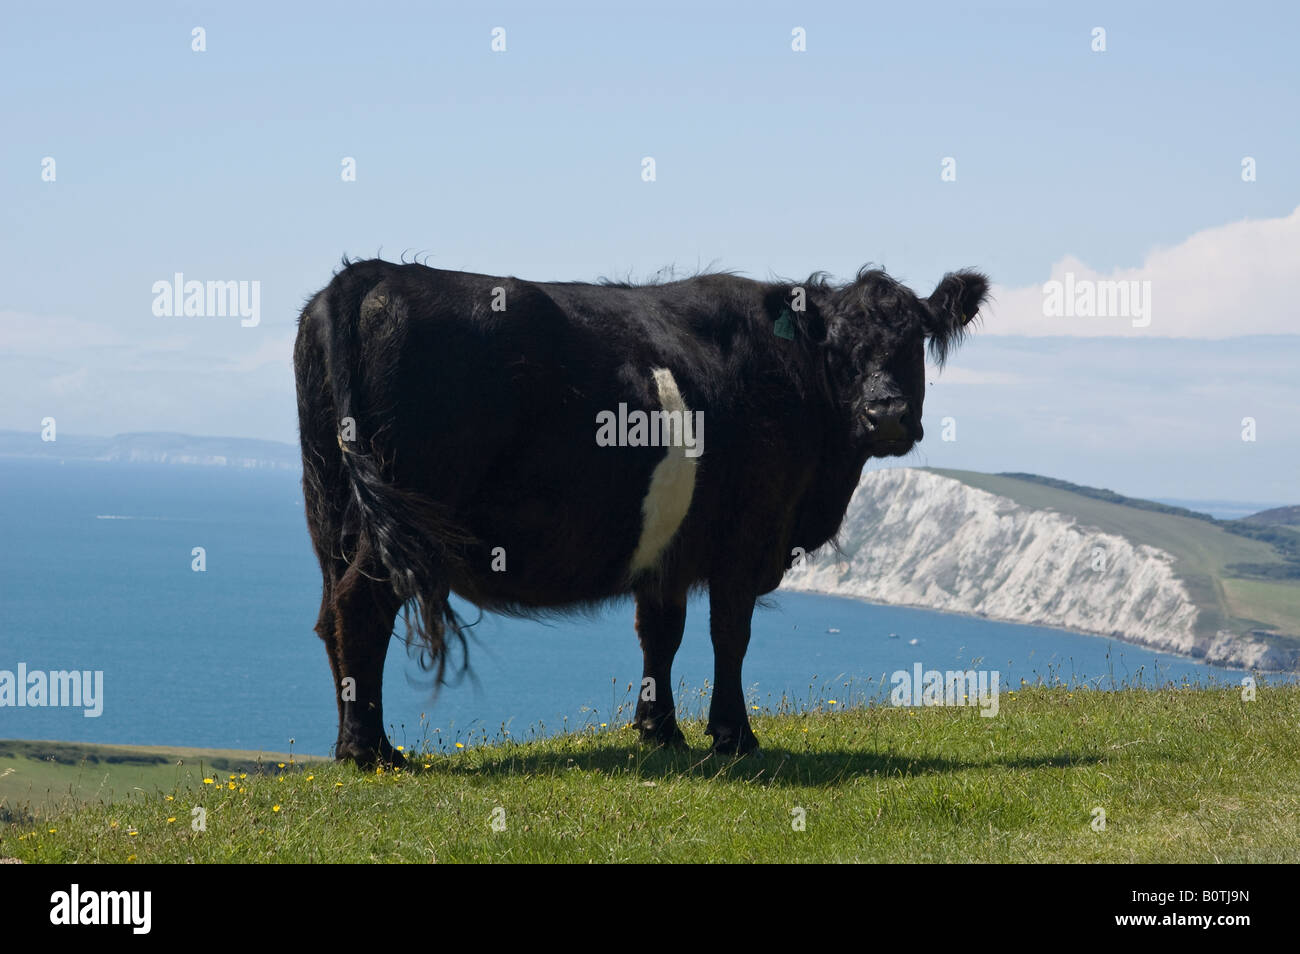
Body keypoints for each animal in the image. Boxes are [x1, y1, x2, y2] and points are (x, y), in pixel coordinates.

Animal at [292, 257, 982, 764]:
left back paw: (351, 743)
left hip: (330, 506)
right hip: (405, 508)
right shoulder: (747, 535)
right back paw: (373, 752)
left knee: (329, 612)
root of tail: (372, 274)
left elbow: (661, 631)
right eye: (837, 349)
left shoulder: (671, 546)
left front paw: (660, 729)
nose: (885, 414)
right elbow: (729, 634)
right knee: (361, 605)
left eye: (914, 341)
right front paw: (734, 737)